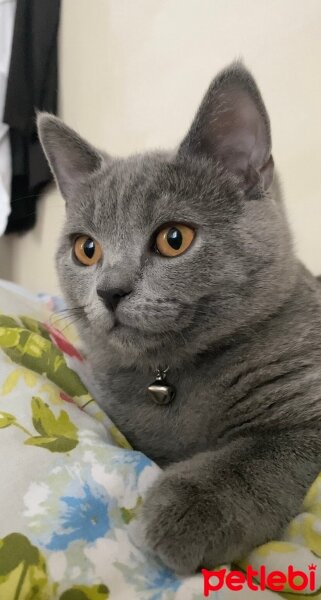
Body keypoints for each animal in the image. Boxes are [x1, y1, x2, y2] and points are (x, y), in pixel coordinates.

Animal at [36, 63, 320, 576]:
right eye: (86, 249)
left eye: (174, 238)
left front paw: (189, 511)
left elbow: (254, 456)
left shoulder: (305, 415)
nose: (110, 290)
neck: (169, 378)